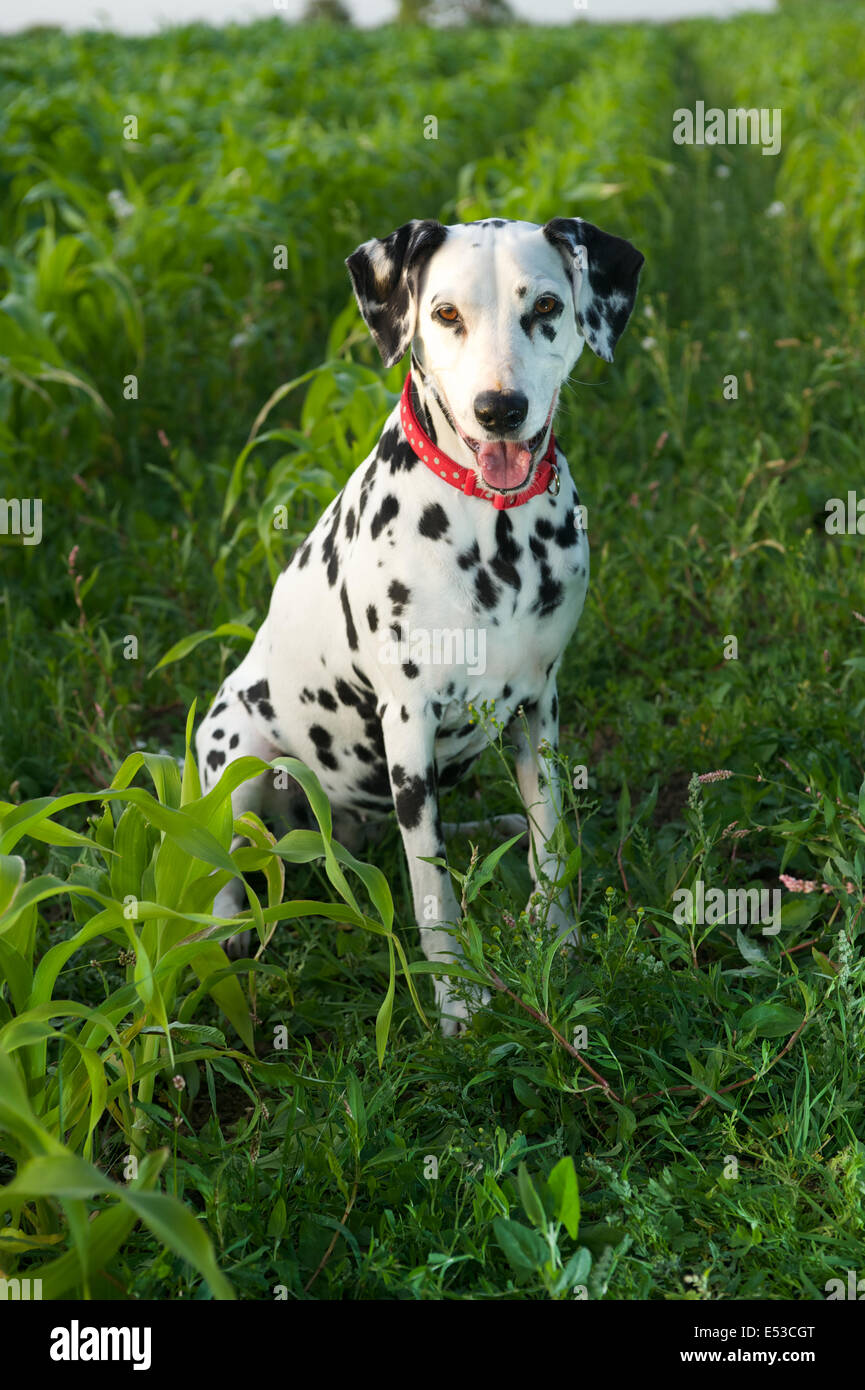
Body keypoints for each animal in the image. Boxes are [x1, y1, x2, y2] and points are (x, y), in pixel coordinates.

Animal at [196, 214, 645, 1034]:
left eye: (545, 307)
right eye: (444, 314)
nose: (499, 408)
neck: (495, 535)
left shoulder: (539, 708)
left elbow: (551, 842)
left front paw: (558, 941)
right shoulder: (409, 727)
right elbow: (432, 886)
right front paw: (457, 999)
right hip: (235, 751)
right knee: (227, 863)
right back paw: (227, 934)